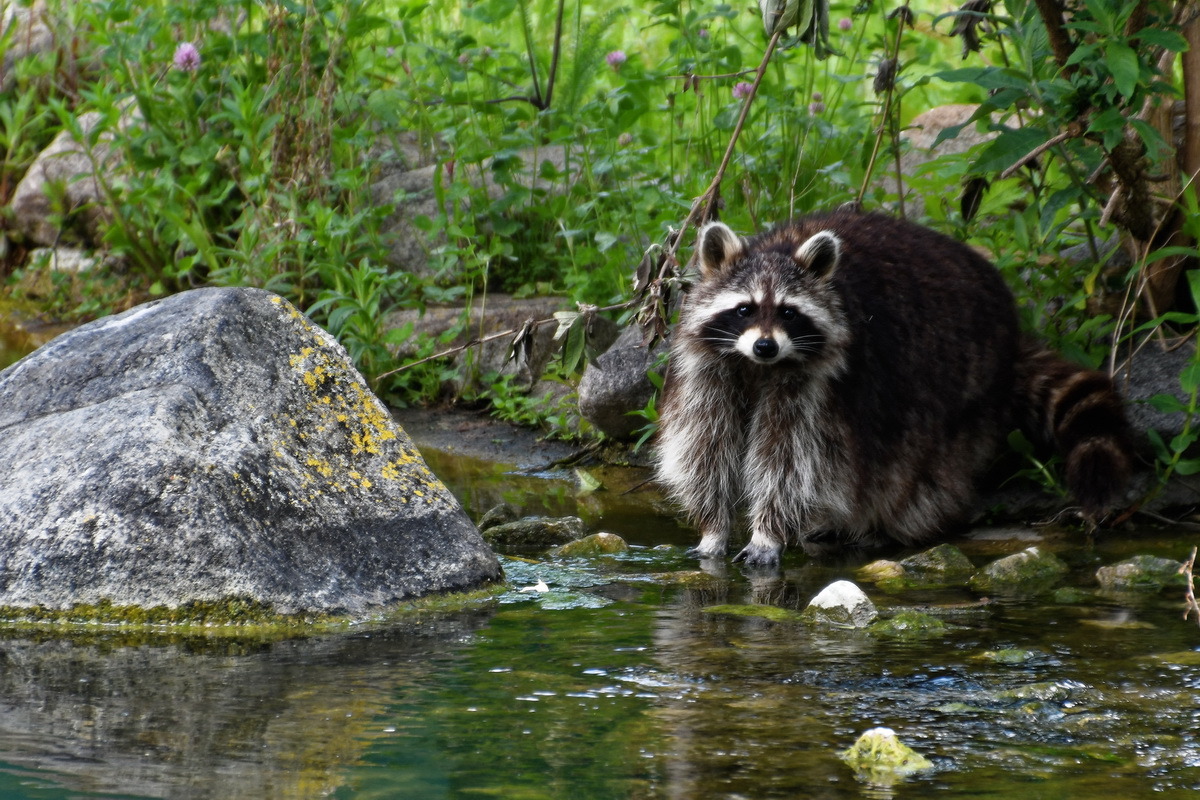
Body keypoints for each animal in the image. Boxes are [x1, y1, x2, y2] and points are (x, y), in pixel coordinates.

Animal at [657, 209, 1132, 566]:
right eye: (745, 309)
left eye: (789, 312)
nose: (766, 345)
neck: (757, 368)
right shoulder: (711, 371)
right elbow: (706, 446)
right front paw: (714, 526)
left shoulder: (820, 383)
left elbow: (792, 460)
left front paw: (768, 532)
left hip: (960, 379)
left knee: (921, 468)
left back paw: (892, 526)